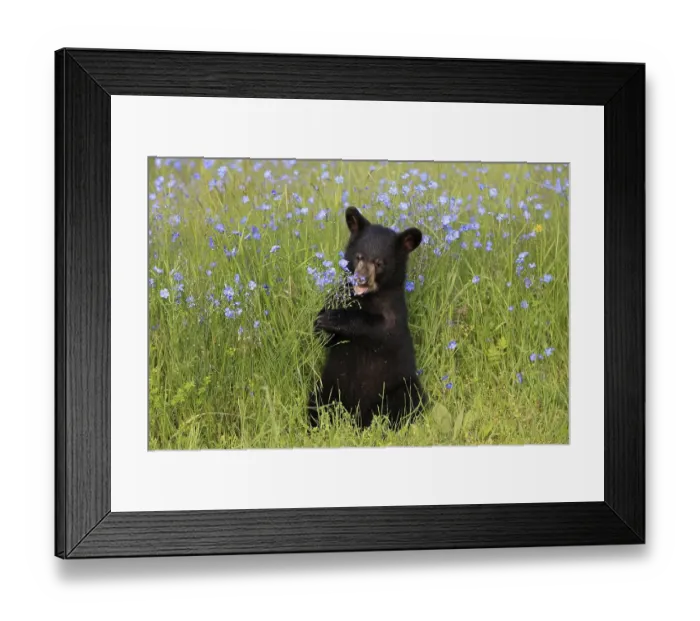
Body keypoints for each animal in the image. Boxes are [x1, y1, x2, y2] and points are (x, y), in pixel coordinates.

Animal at [308, 206, 426, 430]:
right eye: (359, 257)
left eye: (379, 263)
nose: (360, 279)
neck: (367, 298)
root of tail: (358, 417)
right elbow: (326, 337)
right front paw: (321, 320)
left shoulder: (394, 313)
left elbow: (382, 329)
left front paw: (335, 318)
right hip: (329, 384)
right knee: (318, 402)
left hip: (401, 386)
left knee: (408, 402)